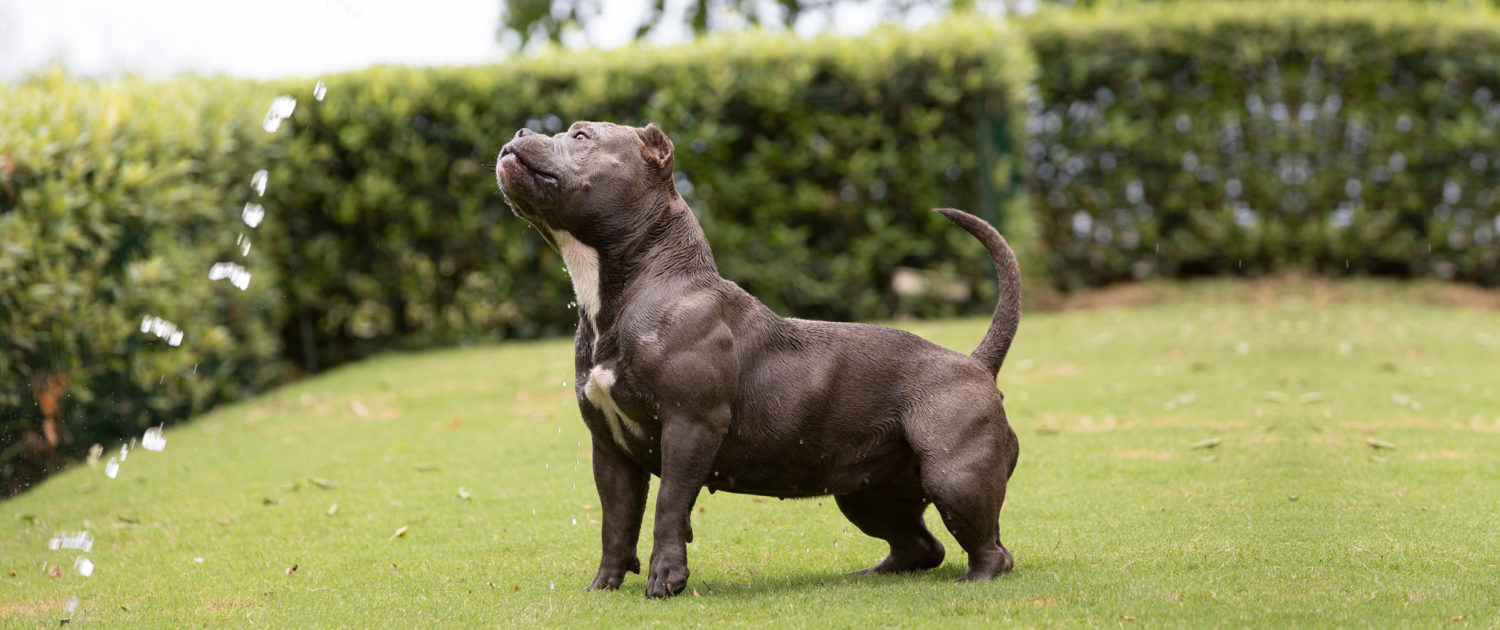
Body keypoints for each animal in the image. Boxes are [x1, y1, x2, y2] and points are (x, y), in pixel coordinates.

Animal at [498, 120, 1026, 597]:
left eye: (580, 136)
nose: (520, 131)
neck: (635, 290)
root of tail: (976, 364)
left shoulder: (691, 426)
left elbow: (669, 506)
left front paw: (665, 580)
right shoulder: (609, 448)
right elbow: (616, 522)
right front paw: (603, 586)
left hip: (955, 477)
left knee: (993, 550)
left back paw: (973, 580)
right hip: (868, 494)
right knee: (920, 547)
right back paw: (869, 574)